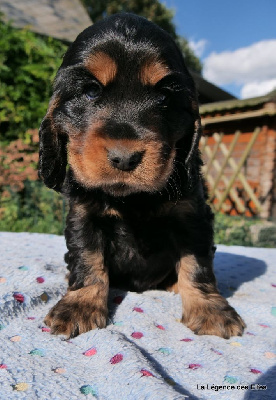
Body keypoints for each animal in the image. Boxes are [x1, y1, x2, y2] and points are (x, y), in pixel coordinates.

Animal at [38, 13, 246, 338]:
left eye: (163, 96)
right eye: (90, 91)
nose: (125, 157)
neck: (132, 199)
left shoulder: (192, 217)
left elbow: (197, 263)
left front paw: (211, 310)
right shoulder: (83, 215)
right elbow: (87, 258)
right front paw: (79, 305)